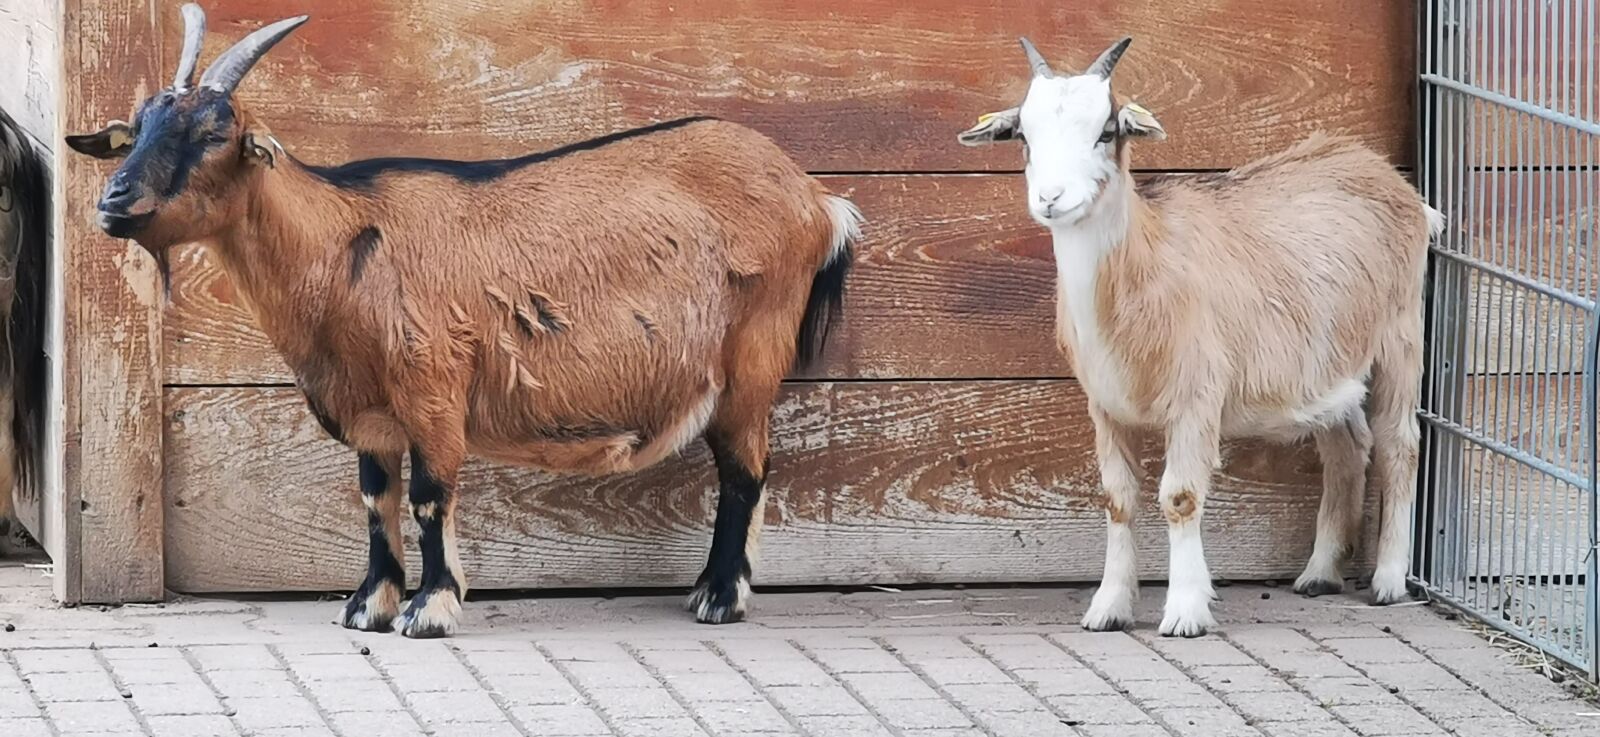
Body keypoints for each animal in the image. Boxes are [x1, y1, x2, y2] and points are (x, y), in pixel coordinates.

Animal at [67, 4, 862, 638]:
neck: (344, 244)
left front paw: (431, 609)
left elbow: (429, 496)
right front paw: (368, 605)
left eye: (214, 133)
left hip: (753, 358)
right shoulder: (373, 412)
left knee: (745, 469)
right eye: (136, 128)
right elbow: (375, 496)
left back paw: (720, 596)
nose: (115, 200)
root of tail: (817, 199)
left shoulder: (433, 389)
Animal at [958, 37, 1439, 636]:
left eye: (1106, 132)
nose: (1051, 198)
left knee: (1400, 444)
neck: (1142, 262)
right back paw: (1320, 573)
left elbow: (1180, 498)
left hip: (1400, 338)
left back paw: (1390, 579)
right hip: (1328, 370)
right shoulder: (1105, 406)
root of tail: (1381, 171)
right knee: (1348, 447)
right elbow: (1119, 499)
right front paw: (1108, 607)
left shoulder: (1197, 396)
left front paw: (1186, 611)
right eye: (1024, 135)